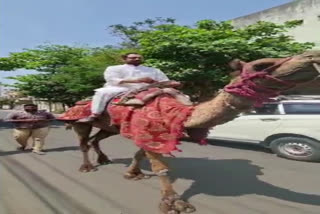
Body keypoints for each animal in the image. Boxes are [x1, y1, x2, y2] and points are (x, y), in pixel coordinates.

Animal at [58, 50, 320, 214]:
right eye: (261, 65)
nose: (313, 55)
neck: (180, 112)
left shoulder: (146, 130)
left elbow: (140, 154)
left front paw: (133, 173)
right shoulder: (149, 128)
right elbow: (160, 166)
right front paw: (174, 203)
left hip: (110, 126)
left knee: (98, 138)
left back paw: (104, 159)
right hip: (80, 119)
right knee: (83, 140)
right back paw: (87, 166)